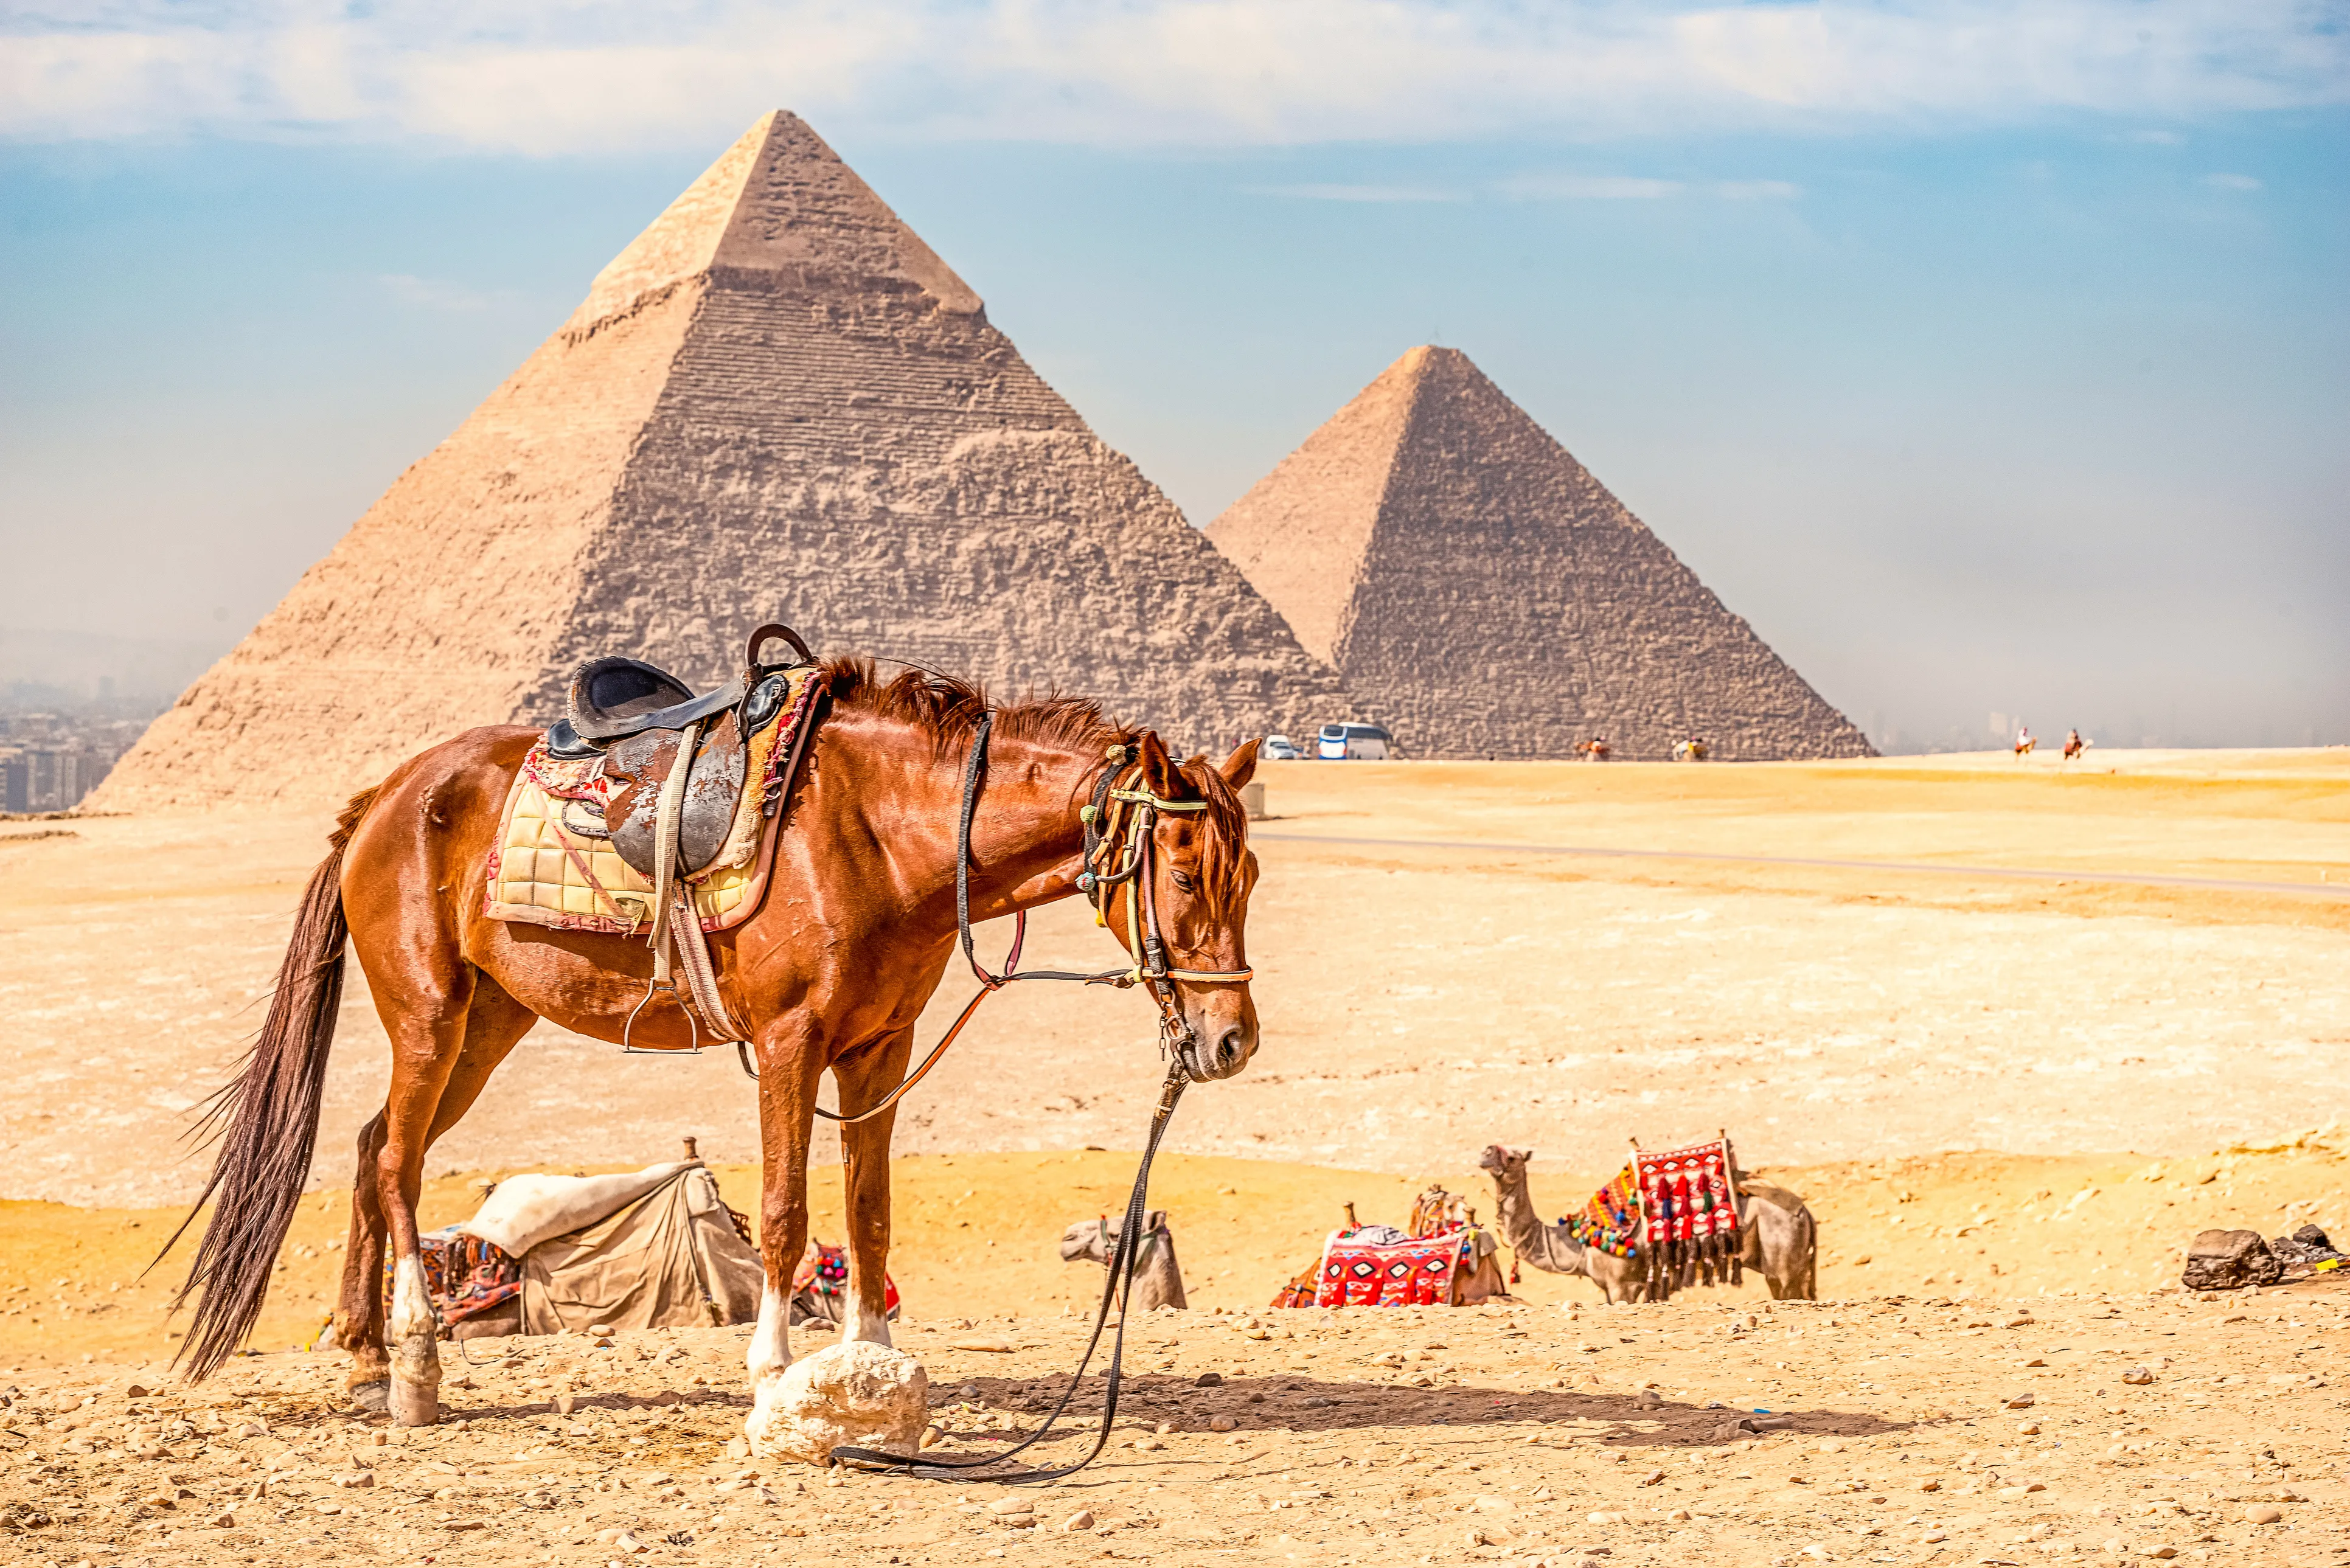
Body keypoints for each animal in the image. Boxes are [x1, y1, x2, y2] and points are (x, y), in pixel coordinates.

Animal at [166, 658, 1262, 1442]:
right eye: (1182, 870)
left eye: (1247, 872)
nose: (1230, 1038)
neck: (885, 835)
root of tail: (382, 795)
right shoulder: (788, 1040)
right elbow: (784, 1212)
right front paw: (774, 1373)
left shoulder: (879, 1047)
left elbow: (869, 1211)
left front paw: (876, 1366)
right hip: (428, 1009)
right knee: (395, 1160)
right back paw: (415, 1363)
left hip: (491, 1019)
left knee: (367, 1147)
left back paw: (363, 1358)